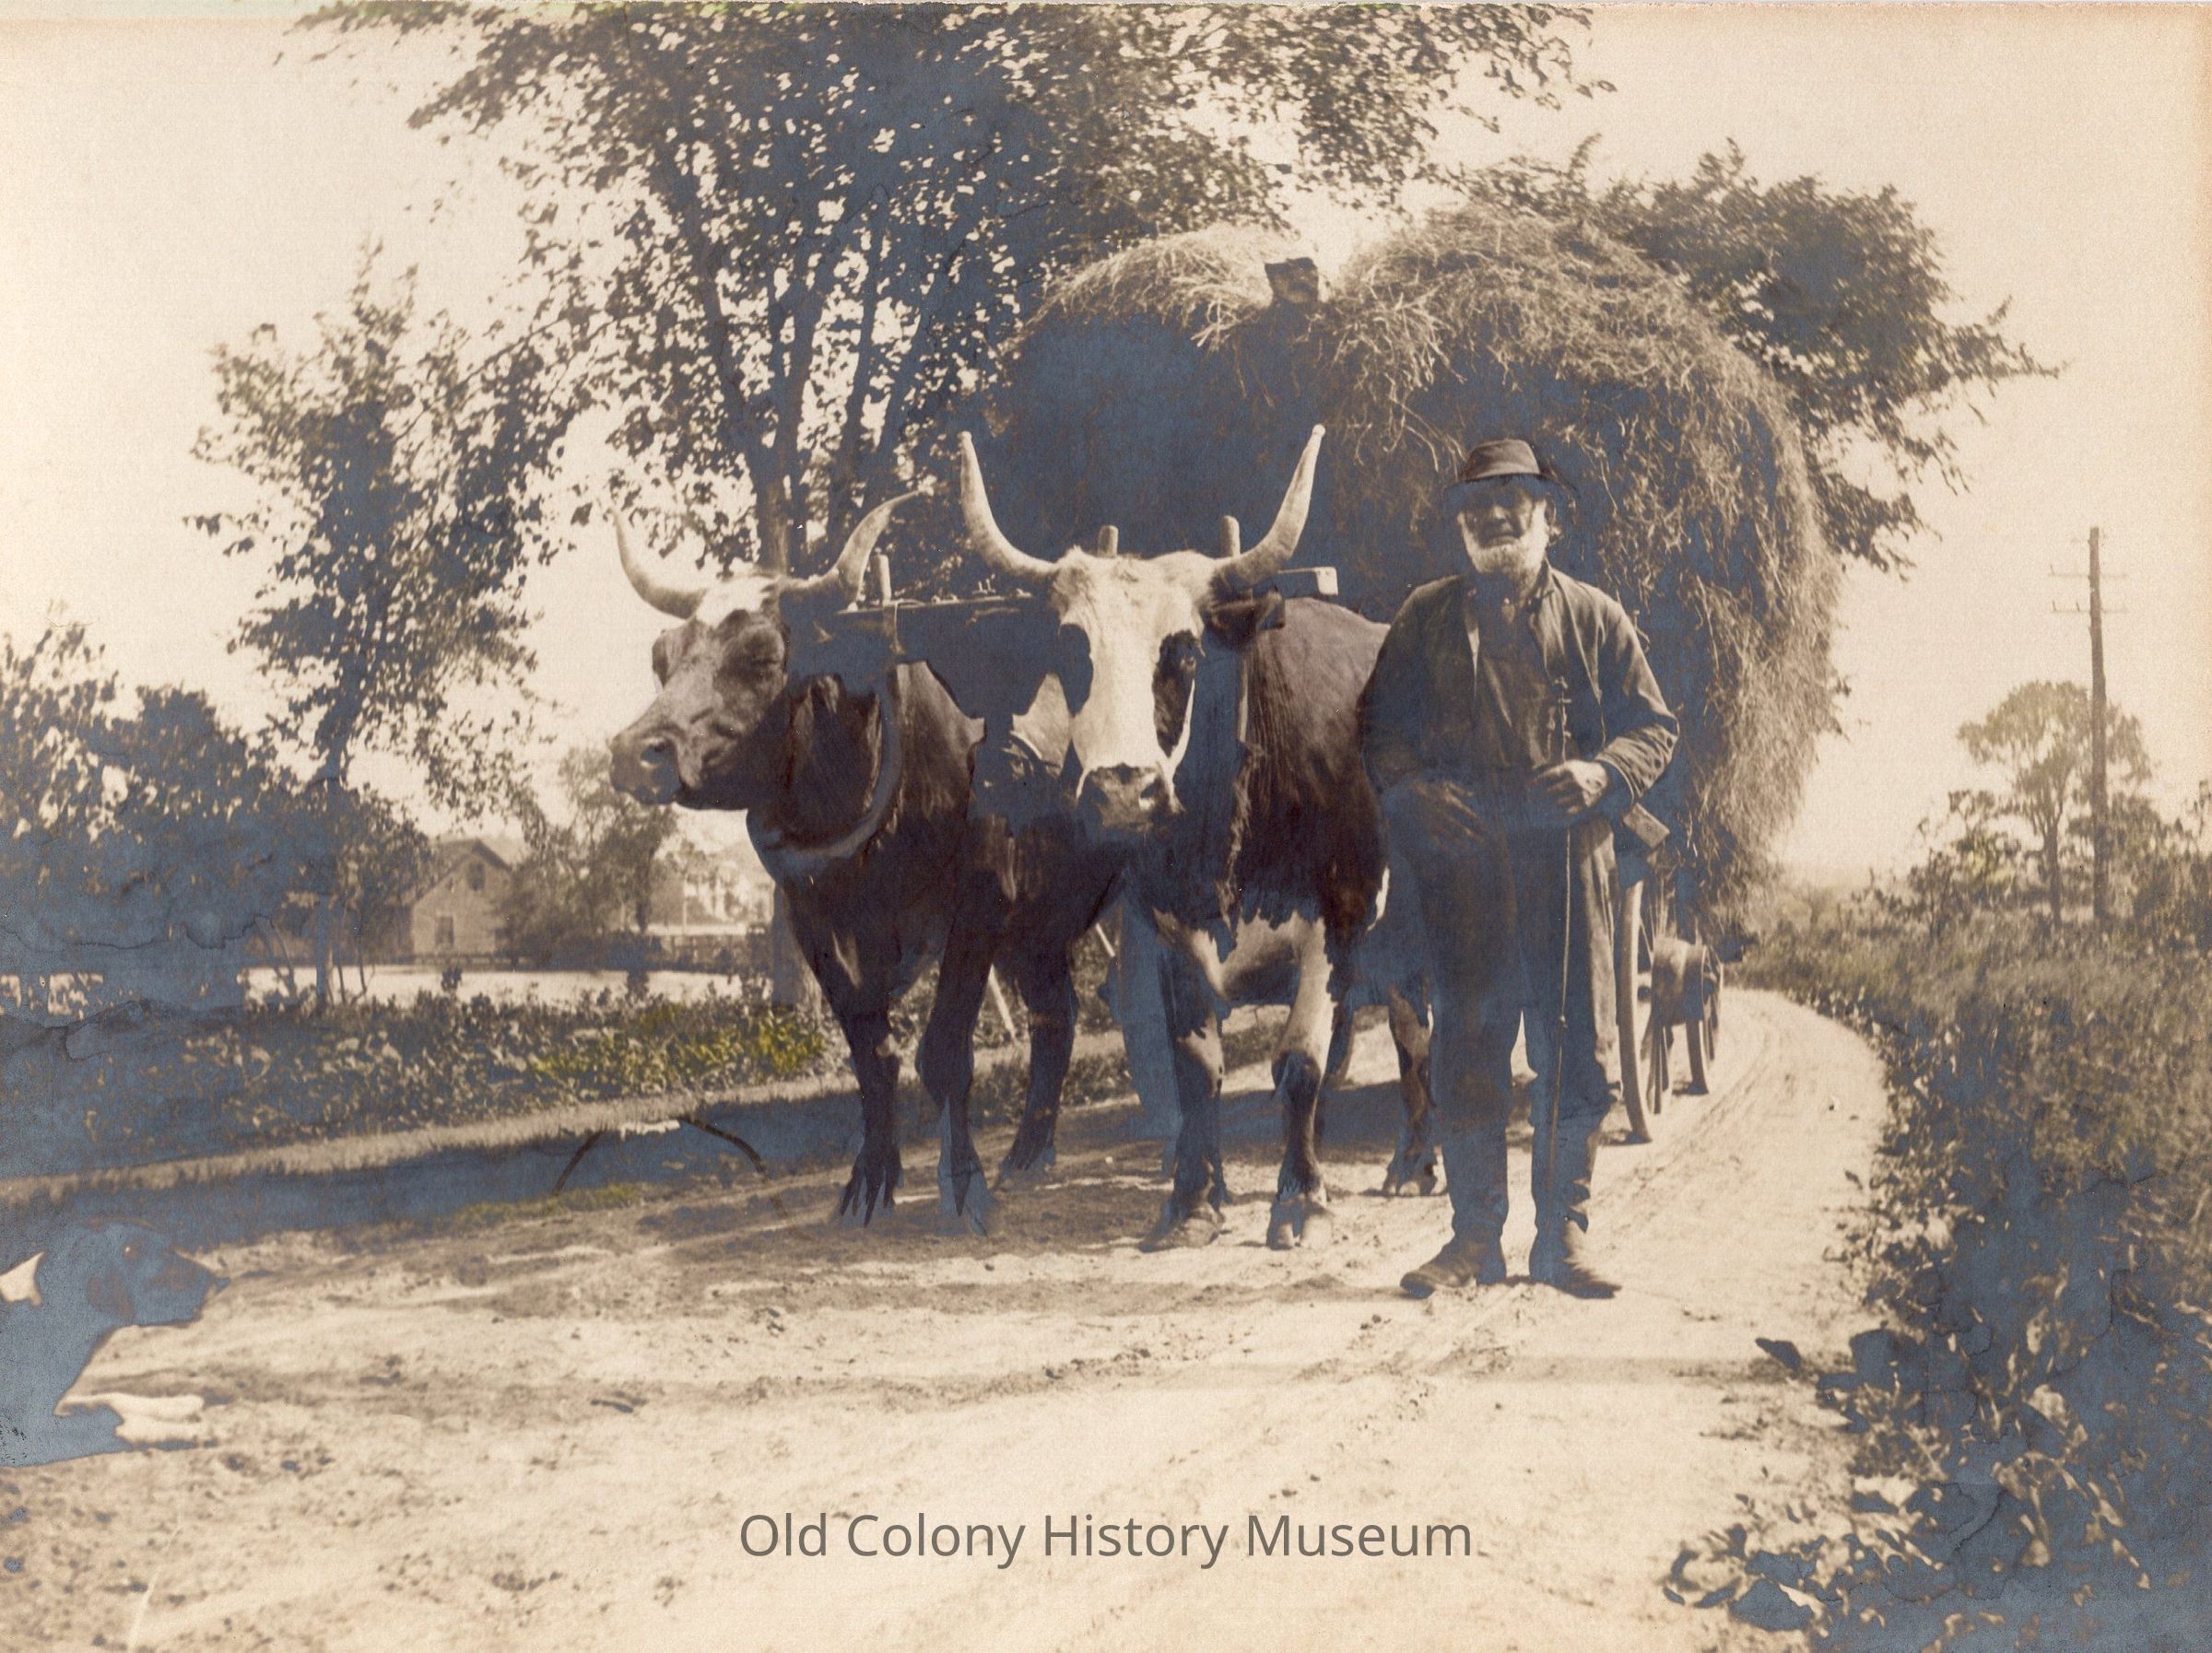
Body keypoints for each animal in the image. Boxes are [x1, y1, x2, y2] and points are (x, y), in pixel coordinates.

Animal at [605, 496, 1121, 1231]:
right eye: (661, 657)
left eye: (761, 656)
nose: (634, 753)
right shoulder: (813, 920)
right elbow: (871, 1055)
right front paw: (871, 1181)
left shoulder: (979, 903)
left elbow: (944, 1052)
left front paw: (963, 1185)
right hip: (1039, 927)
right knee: (1059, 1014)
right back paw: (1028, 1154)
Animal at [953, 426, 1431, 1249]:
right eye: (1074, 655)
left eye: (1182, 654)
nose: (1121, 789)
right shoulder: (1169, 925)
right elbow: (1196, 1067)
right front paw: (1193, 1201)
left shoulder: (1334, 918)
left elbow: (1299, 1062)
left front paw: (1300, 1197)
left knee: (1420, 1028)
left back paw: (1417, 1159)